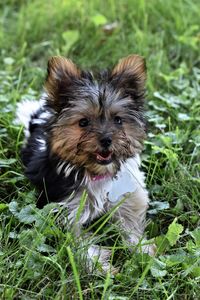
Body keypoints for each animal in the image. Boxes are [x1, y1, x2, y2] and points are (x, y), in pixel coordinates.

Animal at [16, 55, 155, 274]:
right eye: (83, 122)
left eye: (118, 120)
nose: (106, 139)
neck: (97, 172)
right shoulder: (66, 208)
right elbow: (78, 241)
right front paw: (101, 267)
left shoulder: (127, 196)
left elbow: (130, 224)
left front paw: (143, 252)